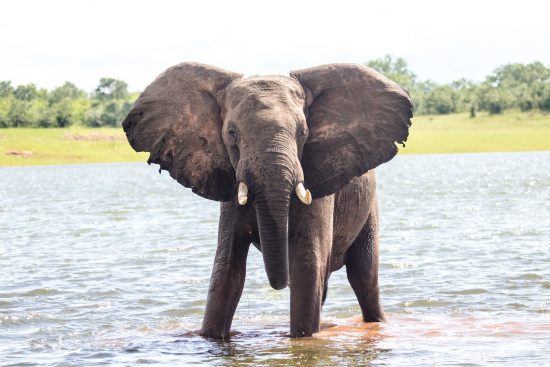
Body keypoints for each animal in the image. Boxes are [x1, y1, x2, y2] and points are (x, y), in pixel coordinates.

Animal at [122, 61, 414, 338]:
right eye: (232, 134)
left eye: (302, 133)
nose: (277, 284)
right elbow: (227, 271)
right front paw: (210, 338)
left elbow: (307, 265)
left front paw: (301, 340)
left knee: (363, 276)